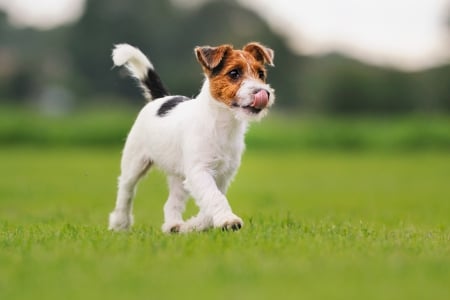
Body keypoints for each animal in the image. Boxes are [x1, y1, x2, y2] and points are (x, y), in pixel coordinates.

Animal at [109, 43, 276, 233]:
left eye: (261, 74)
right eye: (234, 73)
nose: (263, 93)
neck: (223, 124)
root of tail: (161, 98)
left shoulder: (223, 175)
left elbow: (211, 200)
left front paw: (194, 225)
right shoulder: (199, 170)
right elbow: (214, 196)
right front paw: (228, 220)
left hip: (179, 177)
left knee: (171, 203)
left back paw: (174, 226)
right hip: (135, 162)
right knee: (126, 190)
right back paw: (120, 224)